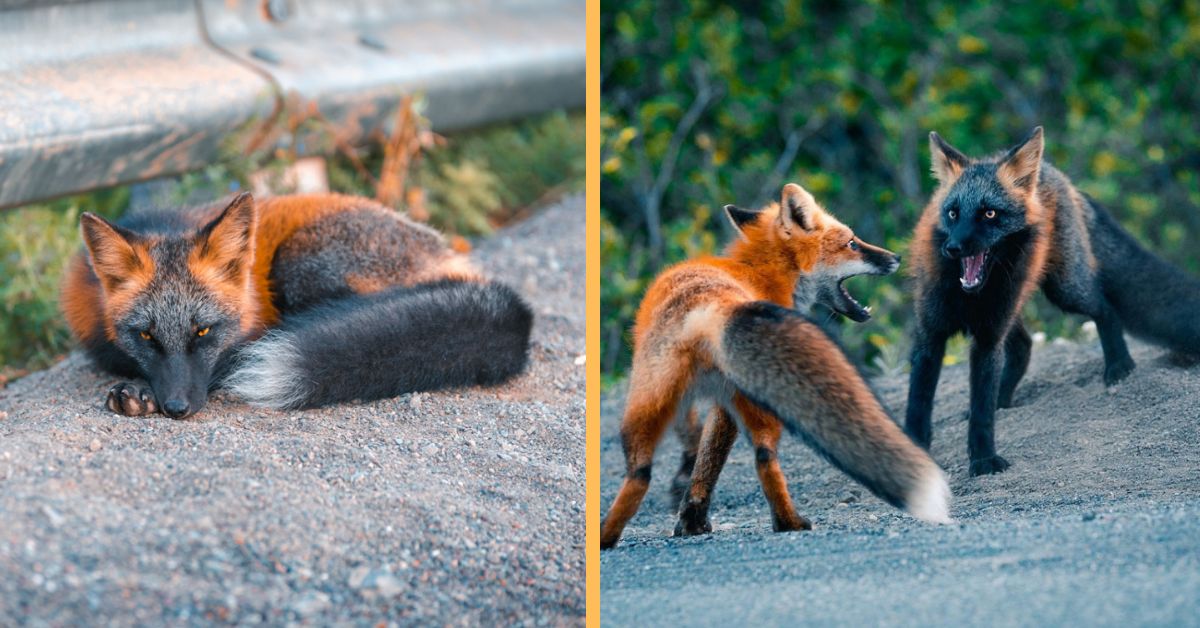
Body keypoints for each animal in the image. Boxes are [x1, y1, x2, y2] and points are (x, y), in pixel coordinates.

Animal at [600, 182, 955, 549]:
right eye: (852, 242)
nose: (896, 257)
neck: (762, 275)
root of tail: (706, 307)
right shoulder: (728, 405)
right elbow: (712, 460)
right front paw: (693, 519)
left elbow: (702, 460)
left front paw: (690, 518)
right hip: (758, 401)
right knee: (764, 457)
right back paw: (789, 522)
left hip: (647, 403)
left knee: (640, 473)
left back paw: (606, 537)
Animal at [907, 125, 1200, 475]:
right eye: (952, 213)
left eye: (989, 213)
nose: (953, 248)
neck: (966, 298)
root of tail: (1054, 173)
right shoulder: (931, 336)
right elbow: (918, 405)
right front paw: (912, 451)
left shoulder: (988, 339)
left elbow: (981, 412)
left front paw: (983, 459)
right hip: (1017, 306)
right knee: (1024, 346)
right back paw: (1005, 399)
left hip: (1064, 290)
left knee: (1105, 308)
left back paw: (1119, 365)